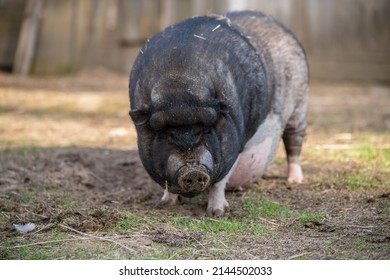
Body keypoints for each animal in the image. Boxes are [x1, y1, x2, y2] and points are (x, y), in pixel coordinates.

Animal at [129, 10, 310, 217]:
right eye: (168, 135)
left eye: (205, 130)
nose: (193, 171)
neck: (179, 85)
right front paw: (164, 205)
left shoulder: (233, 143)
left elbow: (219, 181)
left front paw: (216, 213)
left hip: (300, 105)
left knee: (293, 143)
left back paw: (294, 180)